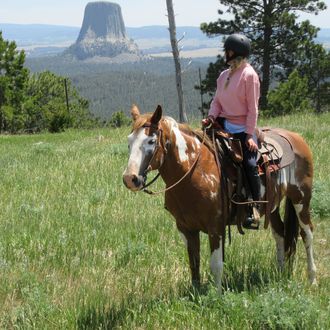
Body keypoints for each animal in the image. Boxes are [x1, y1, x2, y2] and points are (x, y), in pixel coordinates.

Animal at [122, 104, 316, 292]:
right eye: (129, 141)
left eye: (151, 141)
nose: (130, 178)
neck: (194, 171)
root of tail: (296, 138)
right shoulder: (185, 227)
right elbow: (194, 264)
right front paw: (196, 294)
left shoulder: (215, 227)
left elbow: (215, 265)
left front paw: (217, 296)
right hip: (272, 206)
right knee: (280, 234)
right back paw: (280, 273)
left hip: (301, 199)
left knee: (306, 234)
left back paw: (312, 279)